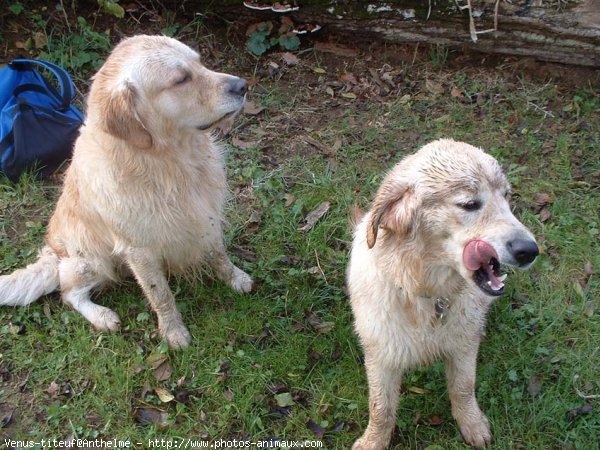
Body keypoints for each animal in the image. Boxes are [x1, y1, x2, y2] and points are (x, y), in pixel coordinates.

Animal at [0, 36, 253, 352]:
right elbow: (160, 294)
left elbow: (219, 254)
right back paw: (103, 316)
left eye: (200, 63)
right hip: (92, 259)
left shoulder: (206, 216)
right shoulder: (139, 250)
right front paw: (173, 331)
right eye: (181, 79)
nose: (243, 85)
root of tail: (54, 254)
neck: (168, 162)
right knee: (68, 293)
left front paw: (236, 278)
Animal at [346, 139, 540, 448]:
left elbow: (463, 387)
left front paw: (472, 424)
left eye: (507, 198)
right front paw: (373, 440)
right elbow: (381, 407)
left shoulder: (464, 345)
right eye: (470, 204)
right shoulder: (381, 353)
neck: (426, 292)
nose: (530, 251)